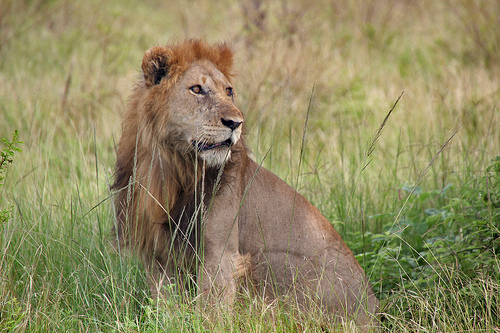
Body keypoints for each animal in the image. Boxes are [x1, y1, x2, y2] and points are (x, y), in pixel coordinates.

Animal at [112, 38, 378, 326]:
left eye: (229, 91)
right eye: (197, 89)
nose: (235, 123)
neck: (171, 167)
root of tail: (374, 312)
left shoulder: (221, 253)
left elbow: (212, 309)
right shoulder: (158, 252)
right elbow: (165, 303)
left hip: (266, 260)